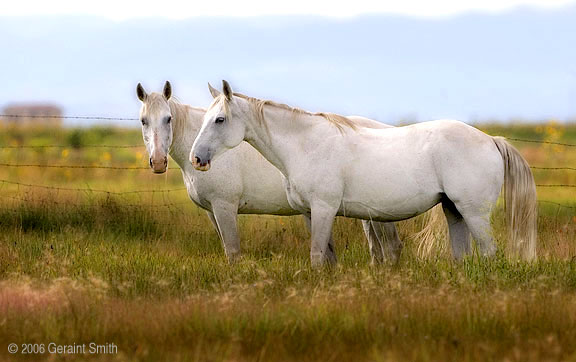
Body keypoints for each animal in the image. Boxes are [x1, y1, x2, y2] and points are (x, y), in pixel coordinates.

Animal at [136, 81, 428, 264]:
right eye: (143, 121)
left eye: (168, 119)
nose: (158, 162)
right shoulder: (211, 212)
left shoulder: (224, 206)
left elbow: (233, 252)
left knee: (391, 248)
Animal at [191, 81, 536, 266]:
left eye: (220, 119)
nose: (197, 158)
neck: (306, 144)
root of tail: (491, 140)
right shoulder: (310, 212)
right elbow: (327, 257)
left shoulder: (324, 209)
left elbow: (317, 254)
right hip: (454, 211)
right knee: (462, 255)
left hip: (474, 212)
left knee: (489, 252)